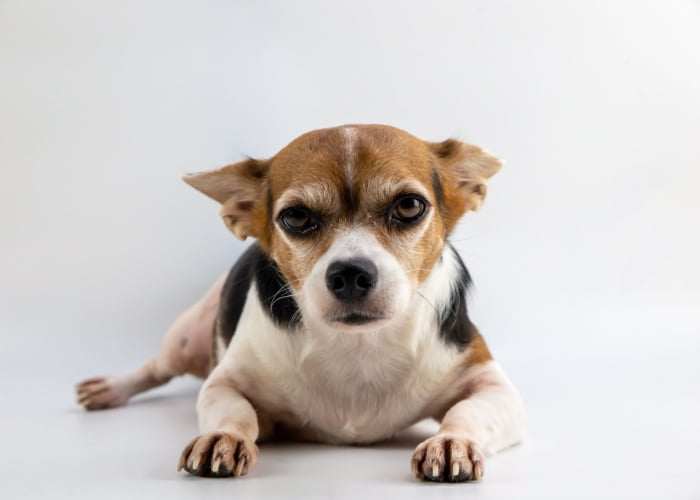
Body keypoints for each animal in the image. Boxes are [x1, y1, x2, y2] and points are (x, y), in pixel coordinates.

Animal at [75, 124, 524, 480]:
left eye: (410, 206)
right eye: (296, 217)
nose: (350, 273)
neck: (358, 346)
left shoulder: (495, 387)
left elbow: (466, 412)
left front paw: (451, 441)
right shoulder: (223, 382)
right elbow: (236, 411)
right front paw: (222, 437)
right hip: (186, 337)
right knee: (155, 368)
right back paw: (111, 388)